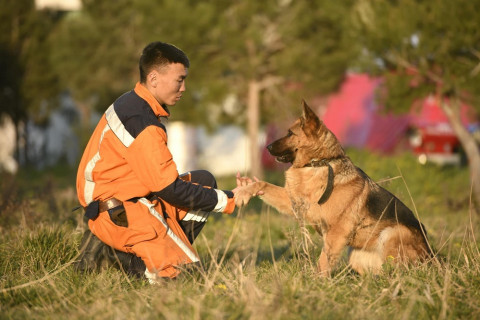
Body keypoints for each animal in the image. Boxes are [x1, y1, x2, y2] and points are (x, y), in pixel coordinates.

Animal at [234, 101, 434, 276]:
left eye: (290, 133)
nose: (267, 146)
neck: (318, 163)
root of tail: (433, 259)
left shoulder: (336, 234)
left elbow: (323, 261)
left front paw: (317, 284)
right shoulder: (295, 204)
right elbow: (263, 184)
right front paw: (244, 190)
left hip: (391, 234)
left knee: (399, 271)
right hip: (356, 256)